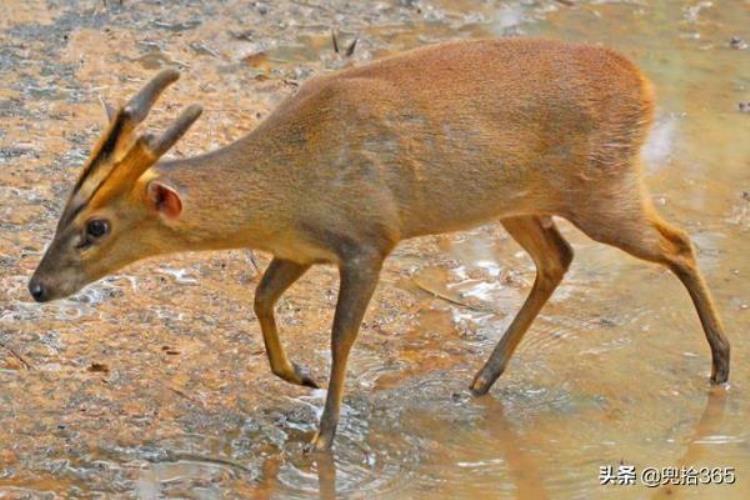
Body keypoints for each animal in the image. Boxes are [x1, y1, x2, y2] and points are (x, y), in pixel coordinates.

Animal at [30, 38, 736, 450]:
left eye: (97, 227)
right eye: (64, 209)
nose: (37, 286)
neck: (291, 182)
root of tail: (645, 84)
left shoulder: (369, 238)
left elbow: (342, 335)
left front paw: (323, 435)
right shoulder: (303, 245)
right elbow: (259, 297)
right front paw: (297, 375)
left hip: (601, 186)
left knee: (679, 243)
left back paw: (721, 364)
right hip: (520, 203)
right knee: (559, 259)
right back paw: (482, 378)